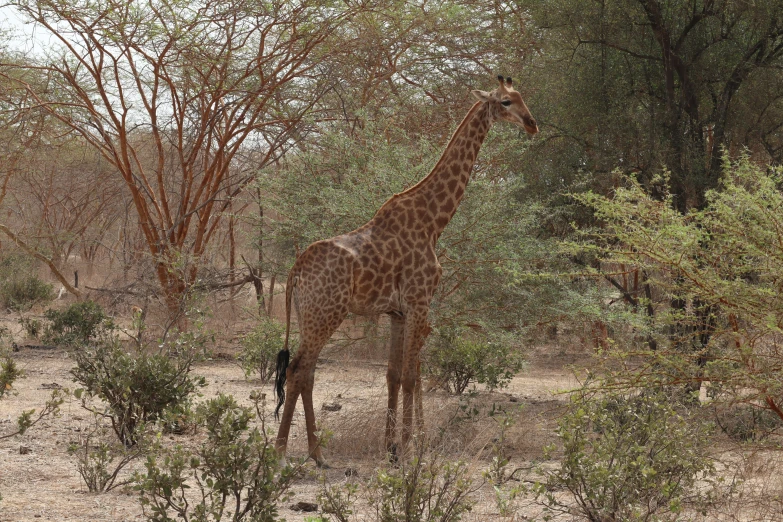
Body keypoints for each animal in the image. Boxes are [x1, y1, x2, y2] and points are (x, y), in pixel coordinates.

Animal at [272, 75, 536, 466]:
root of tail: (295, 270)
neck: (433, 221)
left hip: (310, 316)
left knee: (306, 372)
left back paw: (315, 454)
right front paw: (411, 449)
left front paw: (392, 448)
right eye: (505, 102)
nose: (532, 124)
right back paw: (285, 452)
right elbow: (411, 376)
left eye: (522, 98)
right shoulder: (418, 302)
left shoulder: (396, 311)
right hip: (326, 314)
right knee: (299, 370)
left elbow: (393, 374)